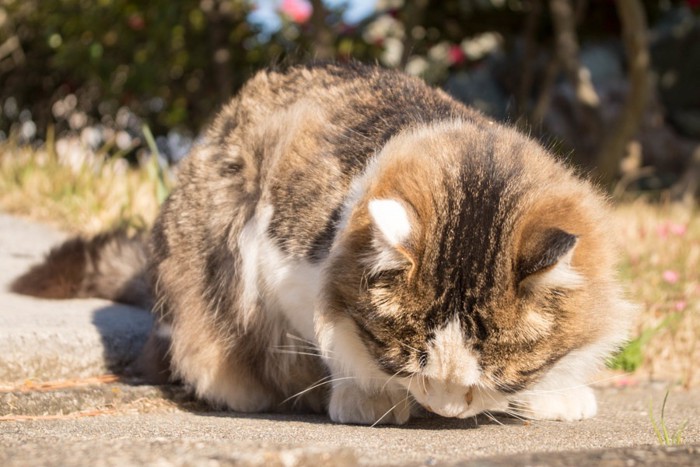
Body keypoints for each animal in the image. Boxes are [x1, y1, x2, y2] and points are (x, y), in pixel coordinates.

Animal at [12, 63, 636, 428]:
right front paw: (368, 397)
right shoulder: (278, 260)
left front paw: (556, 394)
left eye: (494, 379)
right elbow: (333, 345)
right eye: (404, 363)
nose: (443, 408)